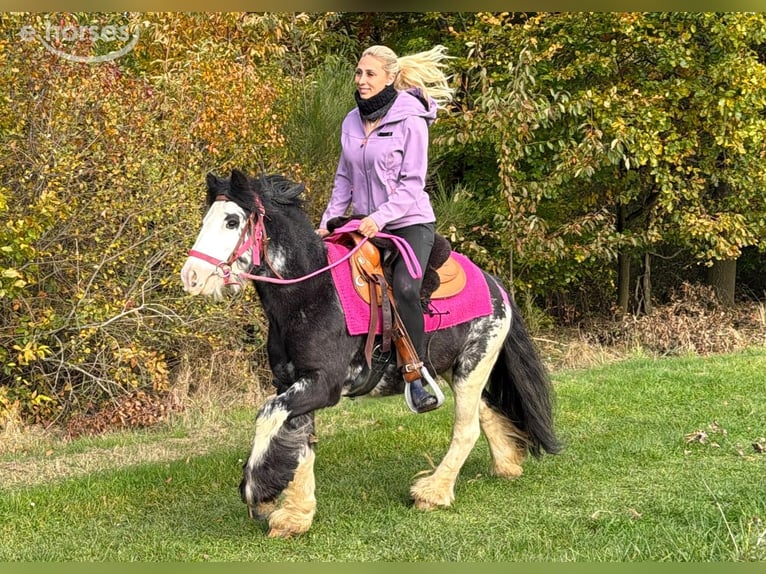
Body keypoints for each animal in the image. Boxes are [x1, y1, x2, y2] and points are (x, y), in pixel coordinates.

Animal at [180, 169, 561, 538]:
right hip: (457, 370)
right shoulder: (293, 382)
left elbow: (268, 417)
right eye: (206, 219)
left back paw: (433, 492)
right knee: (486, 411)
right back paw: (507, 463)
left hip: (473, 366)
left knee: (466, 430)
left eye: (232, 221)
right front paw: (294, 516)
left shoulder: (323, 386)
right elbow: (298, 439)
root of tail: (496, 286)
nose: (192, 276)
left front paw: (258, 491)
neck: (312, 294)